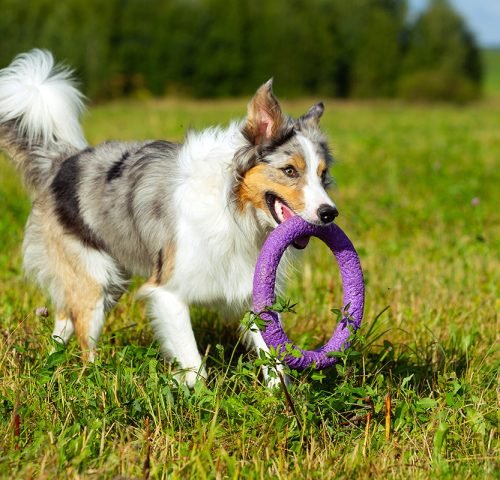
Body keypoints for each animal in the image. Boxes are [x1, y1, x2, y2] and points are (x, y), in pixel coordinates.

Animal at [0, 49, 338, 386]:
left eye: (322, 175)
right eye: (289, 171)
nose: (329, 213)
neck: (234, 208)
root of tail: (62, 162)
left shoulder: (248, 287)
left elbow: (274, 356)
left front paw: (281, 397)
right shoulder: (168, 293)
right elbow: (194, 363)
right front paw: (198, 395)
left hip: (108, 281)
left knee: (63, 321)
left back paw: (52, 367)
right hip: (94, 281)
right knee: (85, 336)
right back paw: (92, 380)